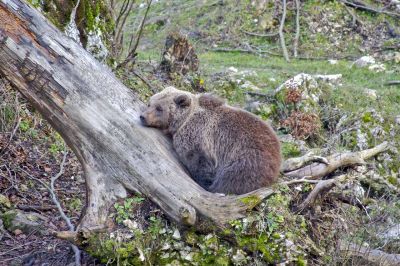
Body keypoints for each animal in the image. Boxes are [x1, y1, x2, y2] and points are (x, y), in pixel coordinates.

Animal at [141, 88, 282, 195]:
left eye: (159, 108)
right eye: (150, 103)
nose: (143, 117)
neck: (183, 121)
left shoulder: (199, 139)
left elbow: (199, 163)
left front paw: (203, 182)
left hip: (245, 159)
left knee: (232, 178)